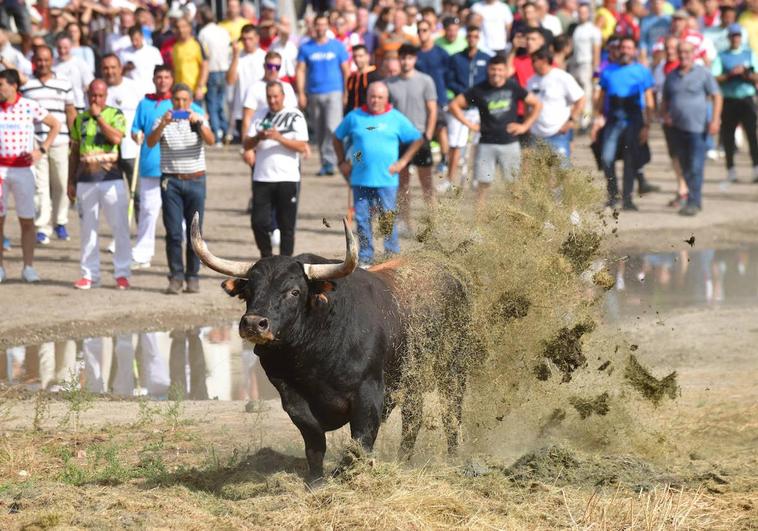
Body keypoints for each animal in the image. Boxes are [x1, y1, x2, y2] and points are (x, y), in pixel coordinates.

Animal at [190, 214, 480, 484]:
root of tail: (449, 270)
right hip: (412, 378)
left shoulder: (369, 393)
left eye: (294, 291)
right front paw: (316, 481)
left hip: (453, 368)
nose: (253, 323)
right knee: (414, 416)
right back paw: (404, 459)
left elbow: (360, 440)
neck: (315, 357)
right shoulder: (291, 396)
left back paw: (453, 457)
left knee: (450, 413)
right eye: (249, 289)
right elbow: (314, 440)